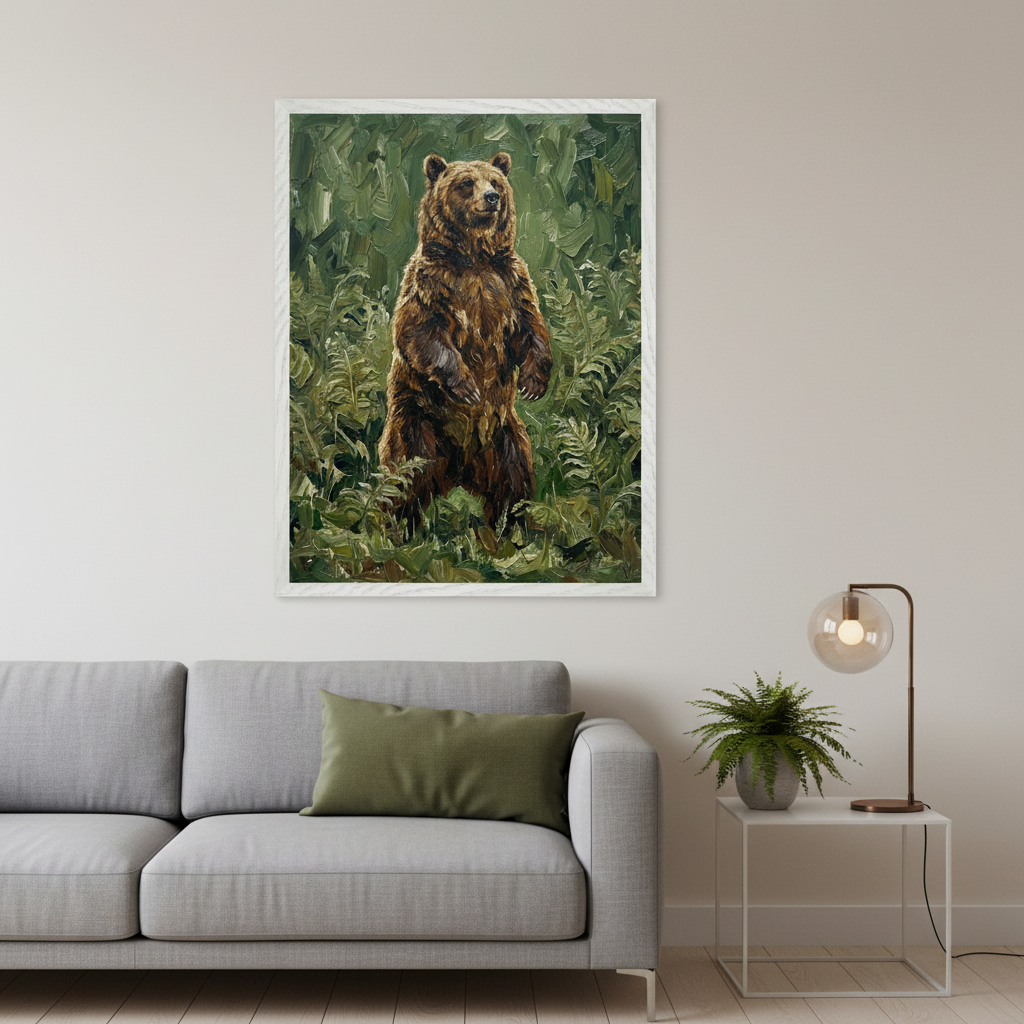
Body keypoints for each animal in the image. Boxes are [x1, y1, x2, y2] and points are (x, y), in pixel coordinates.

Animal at [377, 151, 552, 531]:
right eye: (466, 183)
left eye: (496, 181)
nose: (492, 198)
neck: (474, 258)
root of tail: (457, 472)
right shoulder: (432, 283)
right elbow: (419, 332)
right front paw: (467, 386)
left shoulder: (509, 281)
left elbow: (530, 326)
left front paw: (533, 382)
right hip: (417, 427)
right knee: (402, 483)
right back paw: (396, 529)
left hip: (505, 439)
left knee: (515, 483)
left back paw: (514, 530)